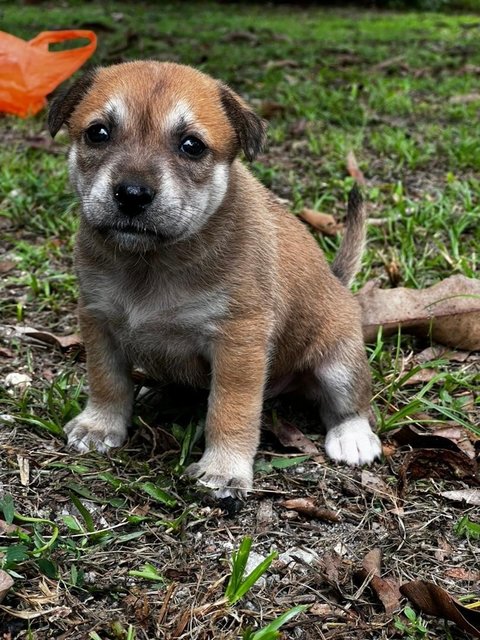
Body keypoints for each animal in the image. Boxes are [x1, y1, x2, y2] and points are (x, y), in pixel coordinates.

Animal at [48, 61, 382, 500]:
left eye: (192, 146)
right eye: (98, 133)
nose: (132, 194)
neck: (151, 263)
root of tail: (337, 283)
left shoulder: (238, 342)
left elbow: (230, 409)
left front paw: (224, 468)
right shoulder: (98, 320)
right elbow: (106, 380)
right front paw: (99, 425)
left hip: (339, 362)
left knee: (350, 402)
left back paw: (352, 436)